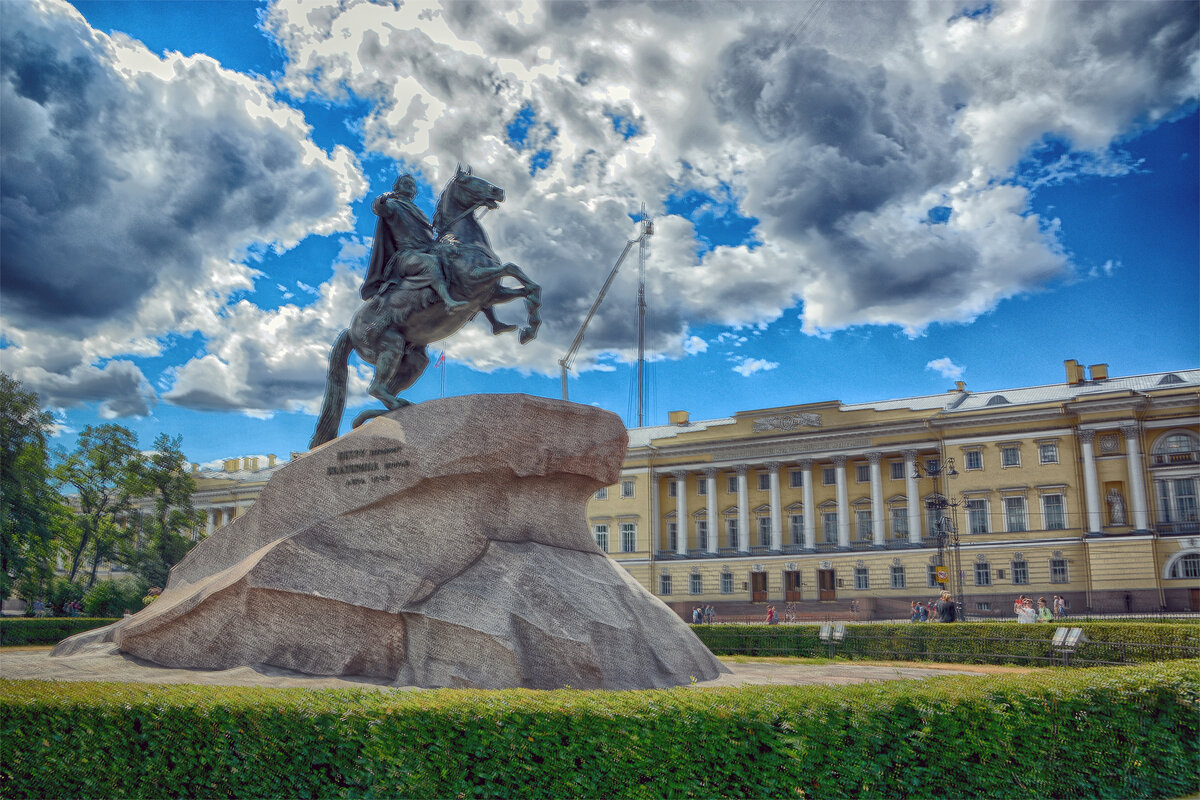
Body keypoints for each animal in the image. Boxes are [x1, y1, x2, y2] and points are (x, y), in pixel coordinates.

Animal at [307, 167, 542, 450]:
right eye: (469, 181)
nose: (498, 191)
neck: (462, 241)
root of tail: (350, 330)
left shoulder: (491, 293)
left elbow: (529, 288)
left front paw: (529, 328)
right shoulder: (475, 281)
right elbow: (512, 267)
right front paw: (384, 199)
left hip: (414, 362)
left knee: (386, 391)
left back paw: (387, 410)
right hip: (391, 345)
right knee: (376, 388)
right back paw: (393, 407)